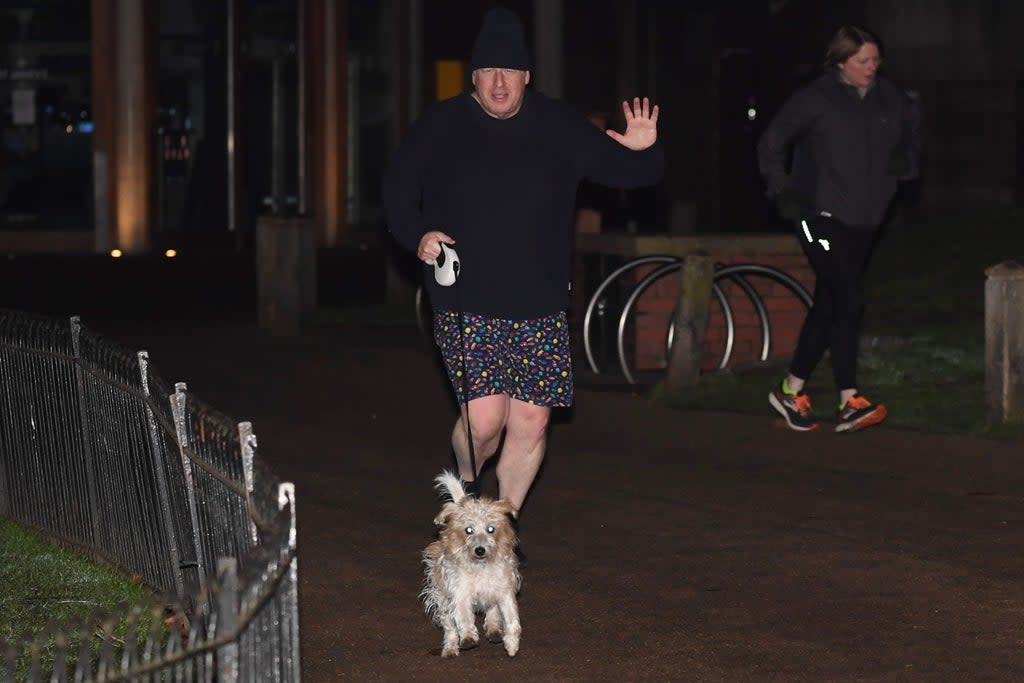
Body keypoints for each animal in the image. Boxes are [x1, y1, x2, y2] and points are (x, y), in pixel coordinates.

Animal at [421, 471, 524, 655]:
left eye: (491, 529)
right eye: (468, 530)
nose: (480, 550)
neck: (481, 566)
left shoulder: (504, 591)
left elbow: (512, 620)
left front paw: (512, 644)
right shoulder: (460, 593)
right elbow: (463, 617)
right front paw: (468, 637)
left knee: (492, 611)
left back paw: (494, 630)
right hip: (442, 598)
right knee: (449, 627)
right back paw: (450, 648)